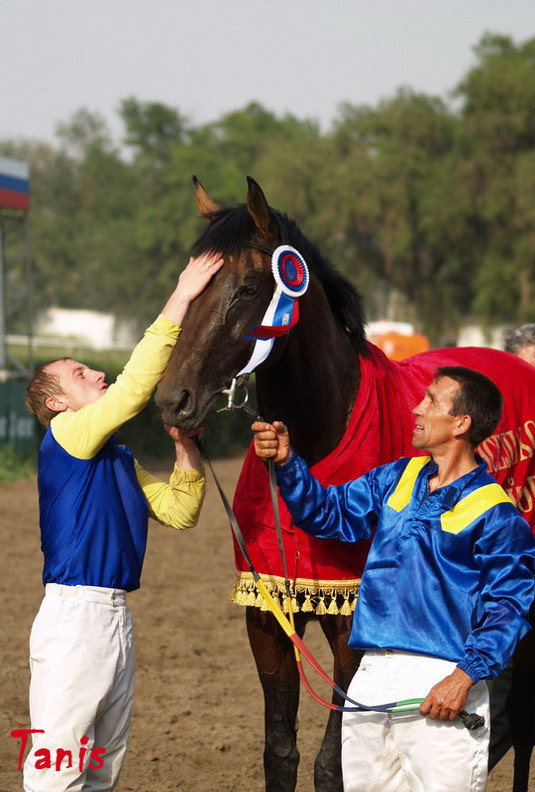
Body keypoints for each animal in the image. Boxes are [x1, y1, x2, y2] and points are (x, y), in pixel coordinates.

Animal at [157, 178, 535, 792]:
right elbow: (280, 753)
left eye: (249, 287)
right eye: (187, 285)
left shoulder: (351, 626)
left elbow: (331, 764)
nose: (173, 400)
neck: (322, 437)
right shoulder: (266, 616)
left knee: (521, 717)